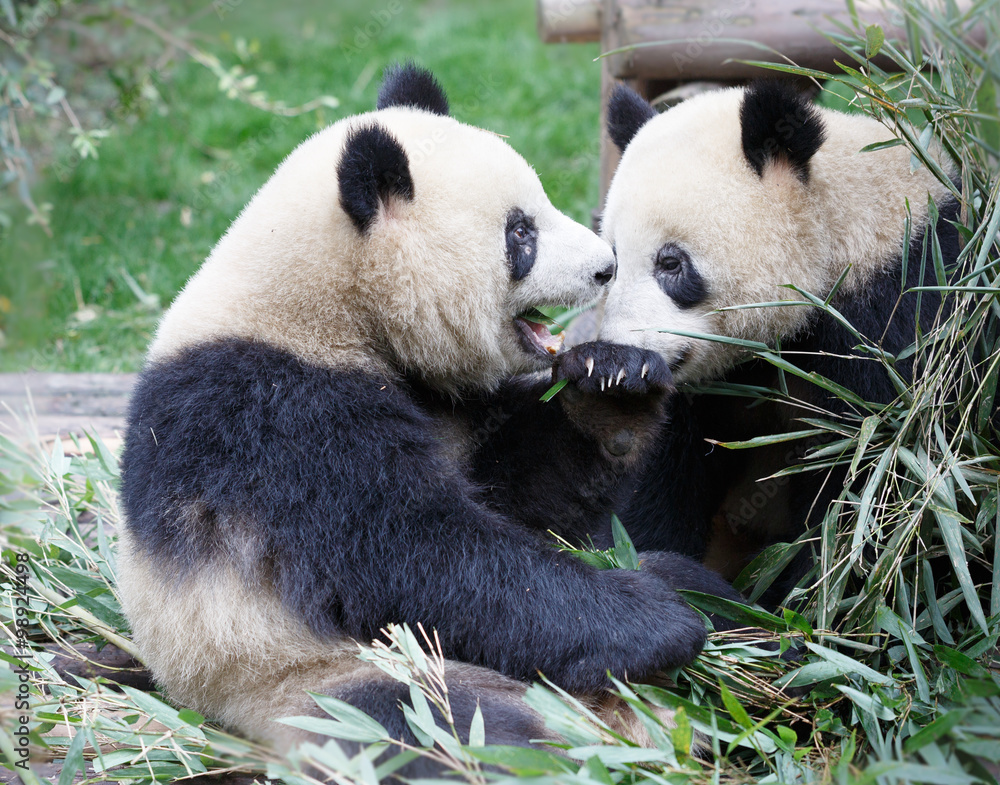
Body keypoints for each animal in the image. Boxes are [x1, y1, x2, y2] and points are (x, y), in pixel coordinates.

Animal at [115, 64, 745, 773]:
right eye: (521, 232)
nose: (605, 268)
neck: (326, 303)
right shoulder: (269, 414)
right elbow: (411, 550)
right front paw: (653, 624)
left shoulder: (449, 403)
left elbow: (522, 495)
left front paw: (613, 381)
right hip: (318, 679)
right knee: (447, 731)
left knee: (686, 578)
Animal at [595, 80, 961, 594]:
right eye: (611, 264)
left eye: (671, 263)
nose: (624, 354)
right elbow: (658, 474)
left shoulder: (896, 304)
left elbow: (867, 479)